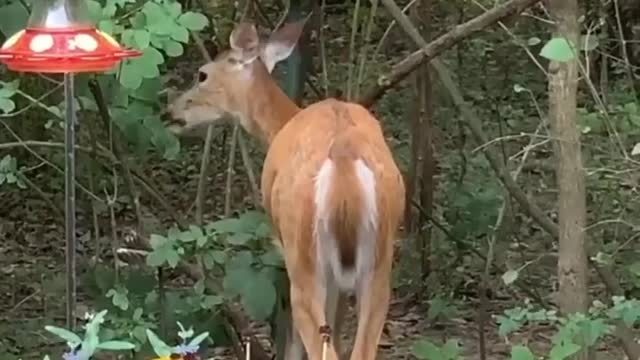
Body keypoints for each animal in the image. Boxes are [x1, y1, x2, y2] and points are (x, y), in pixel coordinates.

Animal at [165, 17, 404, 360]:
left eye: (202, 74)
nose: (170, 112)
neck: (282, 122)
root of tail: (344, 157)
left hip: (303, 253)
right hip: (380, 261)